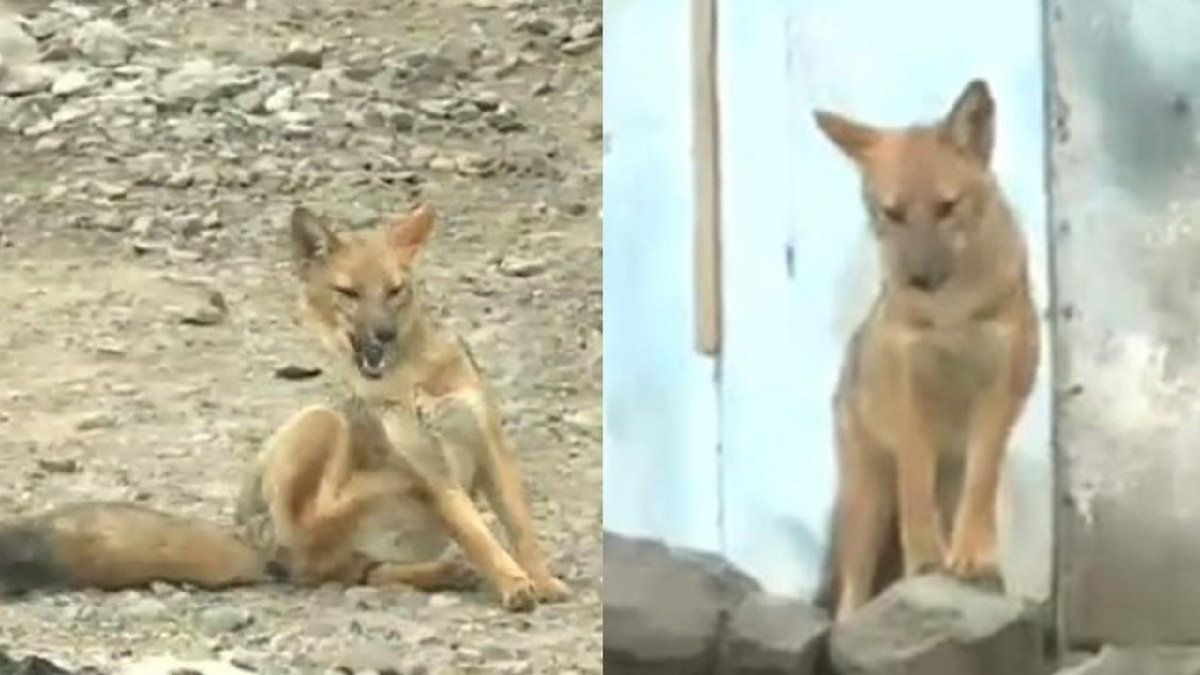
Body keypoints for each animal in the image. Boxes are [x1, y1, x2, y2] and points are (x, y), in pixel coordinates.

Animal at [0, 203, 571, 613]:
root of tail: (250, 541)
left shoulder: (490, 446)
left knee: (357, 572)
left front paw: (541, 580)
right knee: (312, 556)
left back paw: (438, 570)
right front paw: (513, 583)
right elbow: (479, 534)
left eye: (395, 291)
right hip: (319, 421)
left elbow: (520, 529)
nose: (382, 336)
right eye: (348, 294)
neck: (411, 380)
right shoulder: (431, 473)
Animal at [810, 79, 1040, 621]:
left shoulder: (999, 396)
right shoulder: (907, 399)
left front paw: (974, 557)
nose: (917, 278)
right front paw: (926, 561)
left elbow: (982, 486)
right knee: (851, 597)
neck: (951, 313)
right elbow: (915, 484)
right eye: (892, 214)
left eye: (946, 207)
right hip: (866, 501)